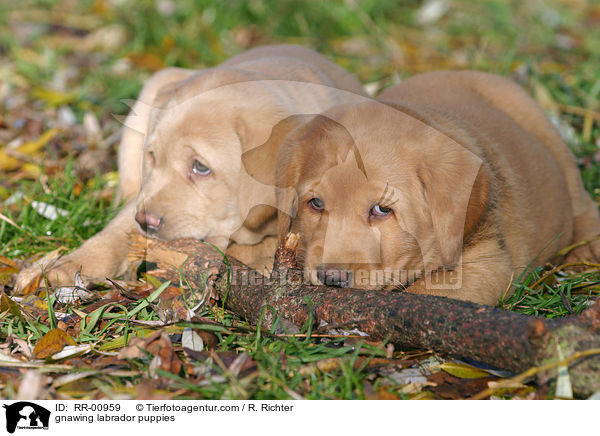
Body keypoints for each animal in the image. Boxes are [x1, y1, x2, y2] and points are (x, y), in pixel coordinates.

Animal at [272, 70, 600, 304]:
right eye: (316, 203)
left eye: (381, 210)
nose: (331, 279)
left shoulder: (487, 266)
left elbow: (419, 294)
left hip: (553, 143)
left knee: (582, 202)